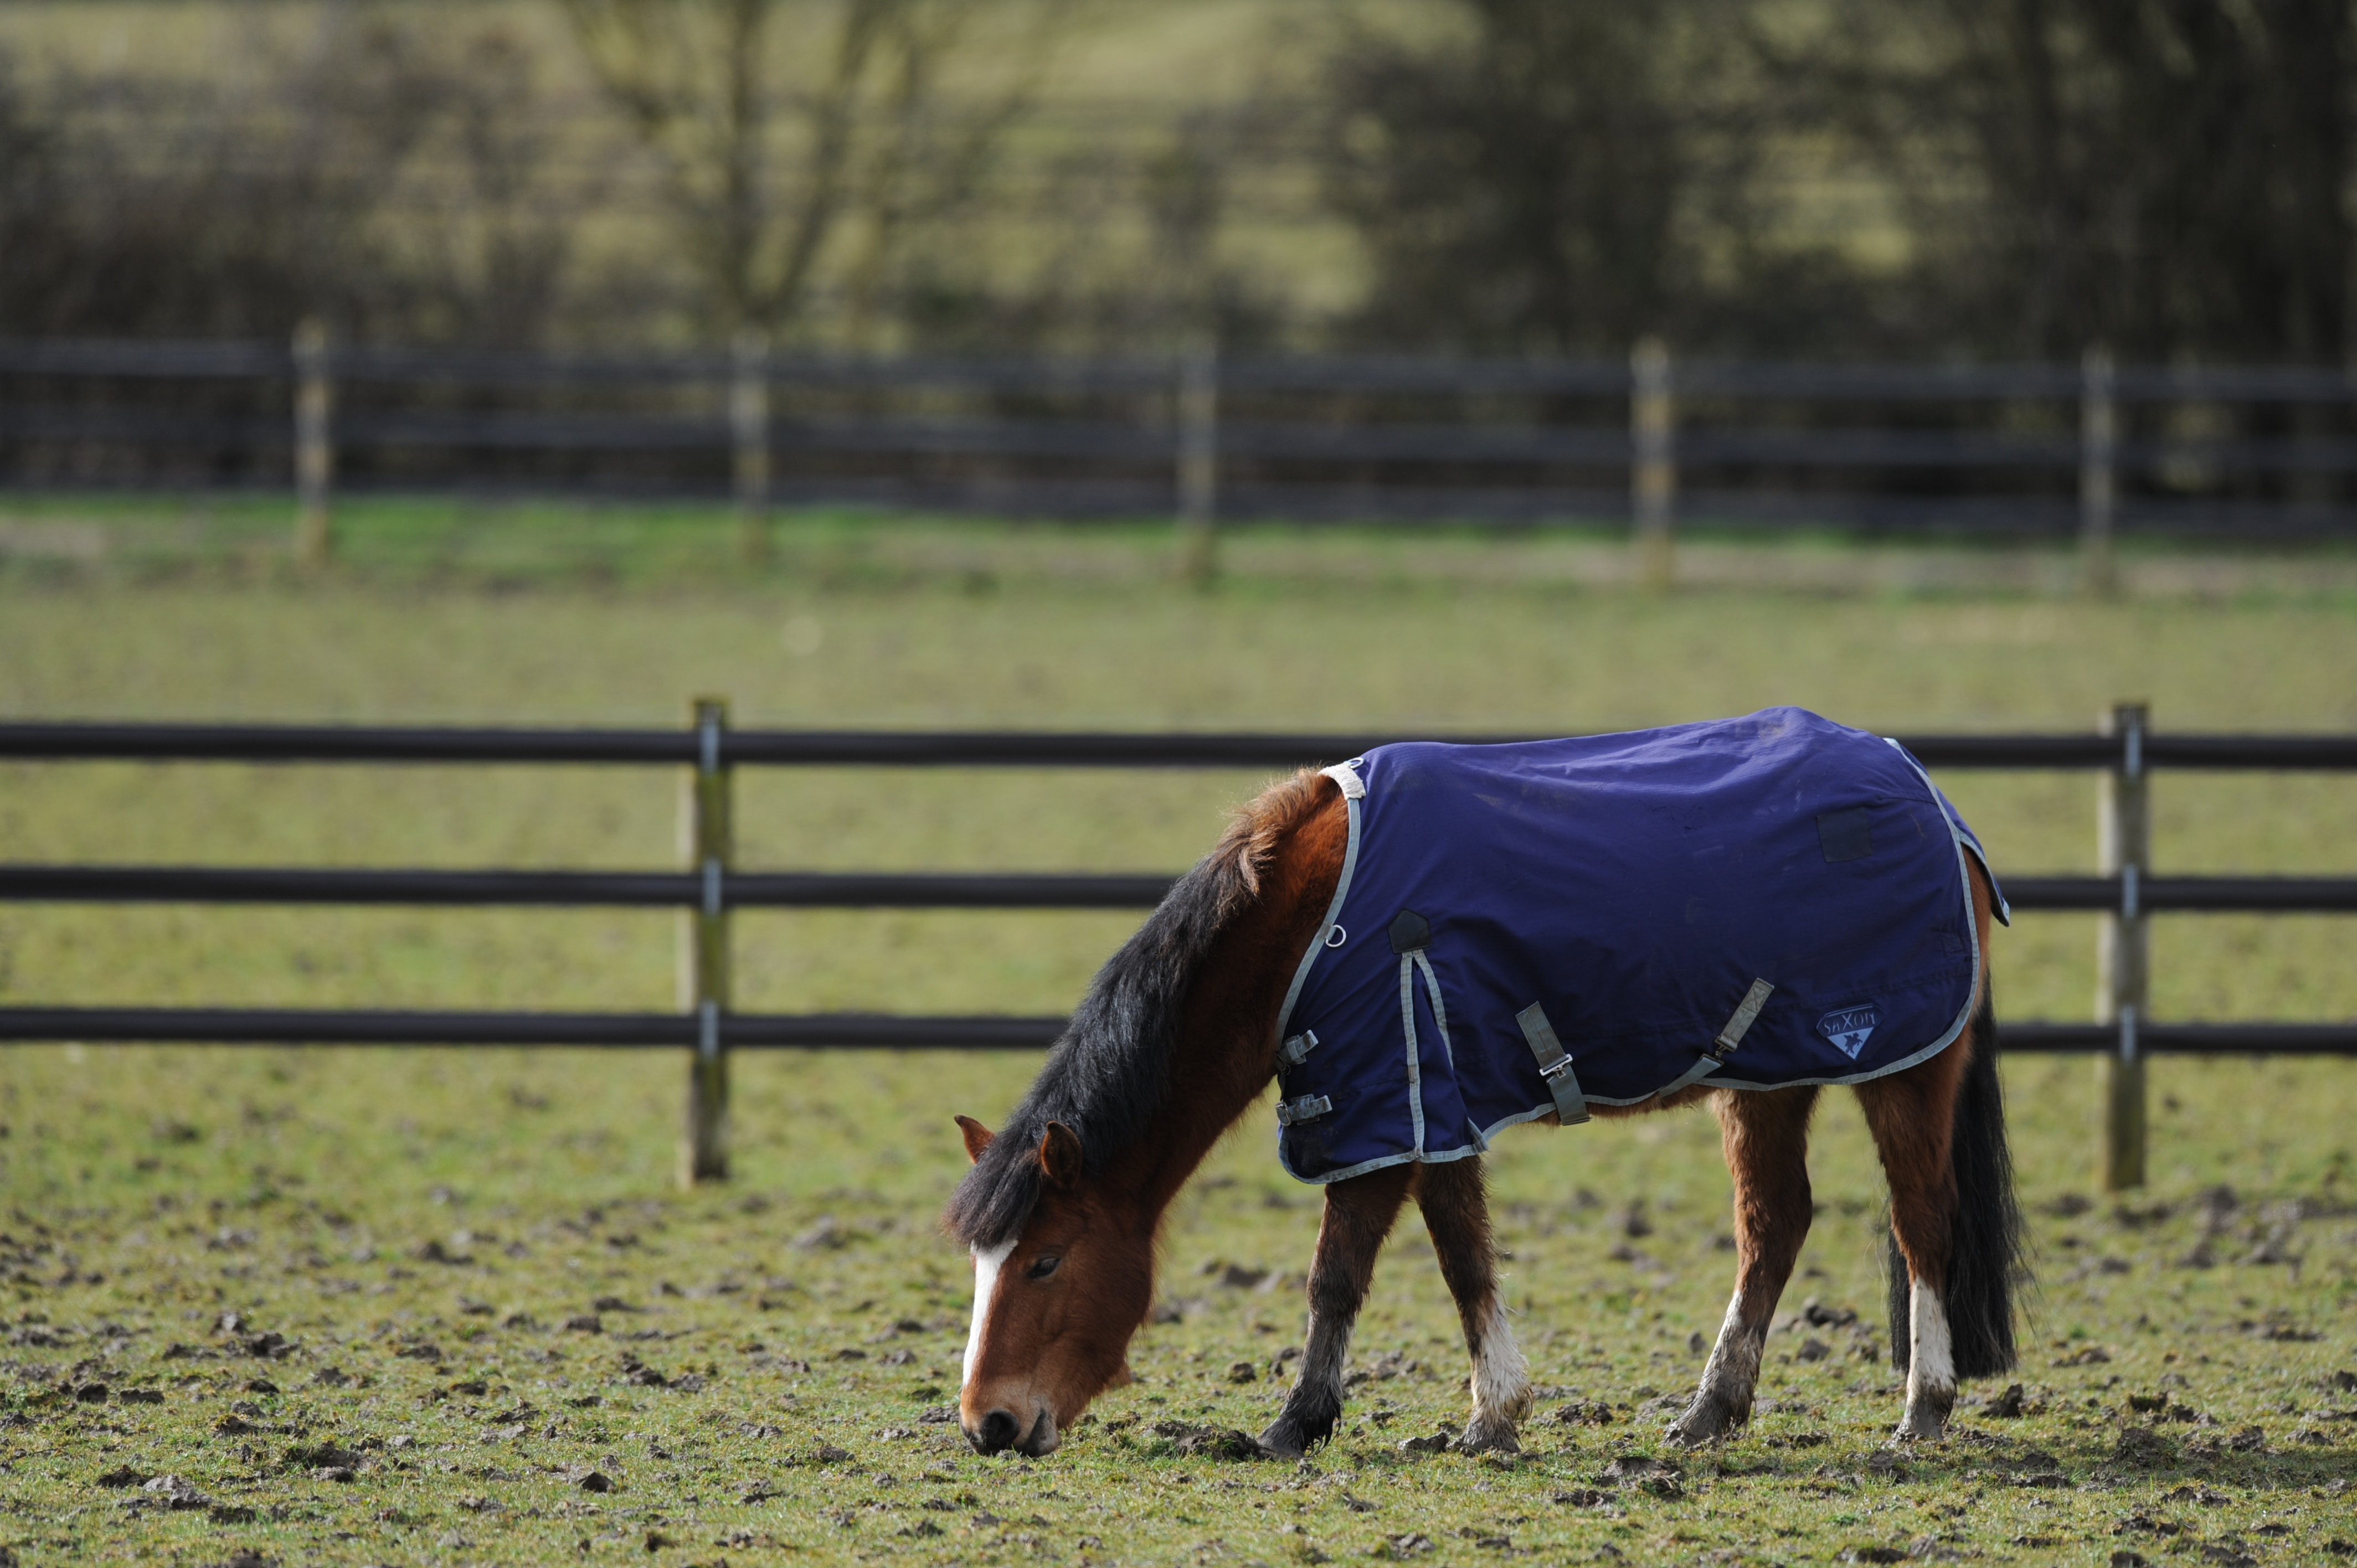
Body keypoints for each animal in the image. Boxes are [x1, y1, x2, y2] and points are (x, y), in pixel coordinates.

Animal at [943, 716, 2027, 1462]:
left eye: (1044, 1260)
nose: (987, 1422)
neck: (1312, 920)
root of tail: (1934, 802)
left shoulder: (1406, 1105)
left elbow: (1401, 1267)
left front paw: (1437, 1418)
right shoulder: (1404, 1110)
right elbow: (1399, 1266)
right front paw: (1373, 1418)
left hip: (1902, 1071)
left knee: (1921, 1221)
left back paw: (1923, 1409)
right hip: (1767, 1078)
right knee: (1775, 1226)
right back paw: (1708, 1411)